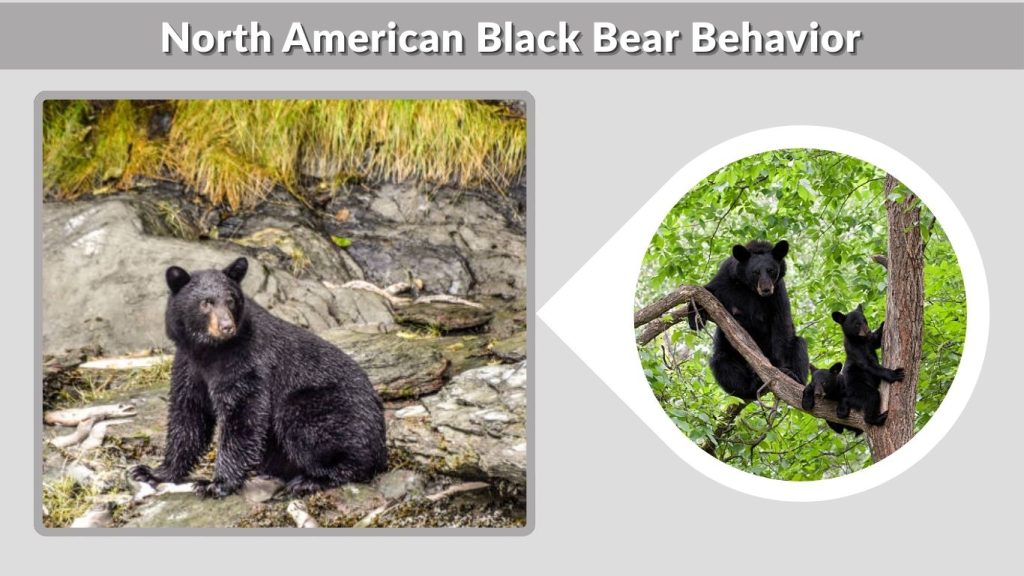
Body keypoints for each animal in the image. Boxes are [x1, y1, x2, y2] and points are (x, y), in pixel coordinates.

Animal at [131, 257, 387, 497]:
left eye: (231, 300)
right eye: (206, 302)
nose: (226, 326)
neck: (209, 351)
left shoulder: (246, 361)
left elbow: (243, 413)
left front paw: (216, 483)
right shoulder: (189, 366)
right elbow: (188, 416)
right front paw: (152, 471)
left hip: (327, 407)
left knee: (313, 429)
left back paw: (311, 480)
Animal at [687, 239, 809, 400]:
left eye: (771, 270)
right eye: (755, 272)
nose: (766, 289)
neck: (751, 289)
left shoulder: (778, 291)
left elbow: (781, 323)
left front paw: (782, 369)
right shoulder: (726, 278)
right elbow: (707, 291)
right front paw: (694, 317)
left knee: (799, 344)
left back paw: (794, 377)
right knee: (722, 363)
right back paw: (751, 386)